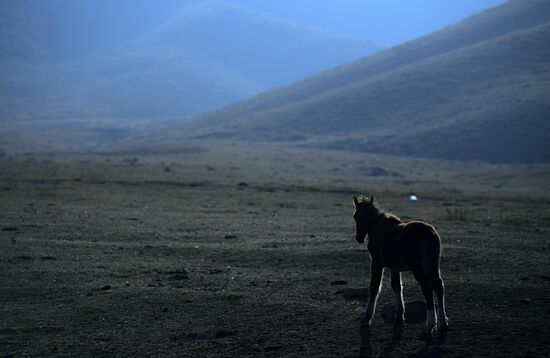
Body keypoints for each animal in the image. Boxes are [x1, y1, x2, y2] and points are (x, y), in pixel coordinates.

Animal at [356, 194, 450, 334]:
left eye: (355, 216)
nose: (358, 238)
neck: (377, 226)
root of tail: (430, 234)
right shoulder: (394, 267)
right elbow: (397, 286)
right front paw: (399, 317)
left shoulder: (377, 263)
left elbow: (374, 287)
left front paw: (367, 318)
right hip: (432, 264)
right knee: (438, 285)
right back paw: (443, 324)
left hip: (417, 267)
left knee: (427, 288)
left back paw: (429, 325)